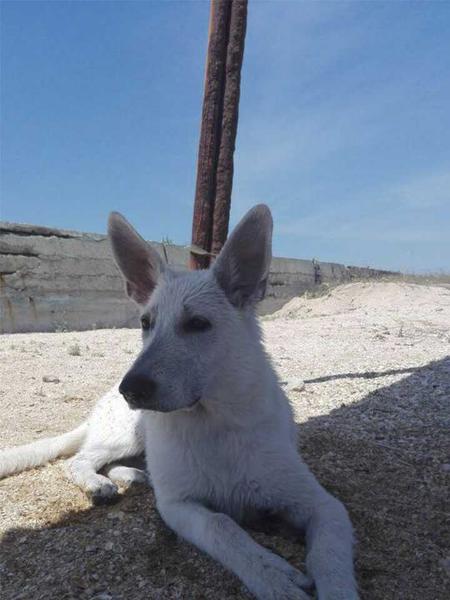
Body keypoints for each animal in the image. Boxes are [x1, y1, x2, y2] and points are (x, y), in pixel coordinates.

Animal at [0, 206, 358, 600]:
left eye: (198, 324)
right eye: (146, 323)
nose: (131, 389)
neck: (212, 424)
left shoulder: (325, 506)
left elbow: (330, 559)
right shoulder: (179, 507)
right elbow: (223, 526)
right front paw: (274, 575)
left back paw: (134, 475)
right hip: (125, 437)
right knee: (81, 459)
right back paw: (99, 483)